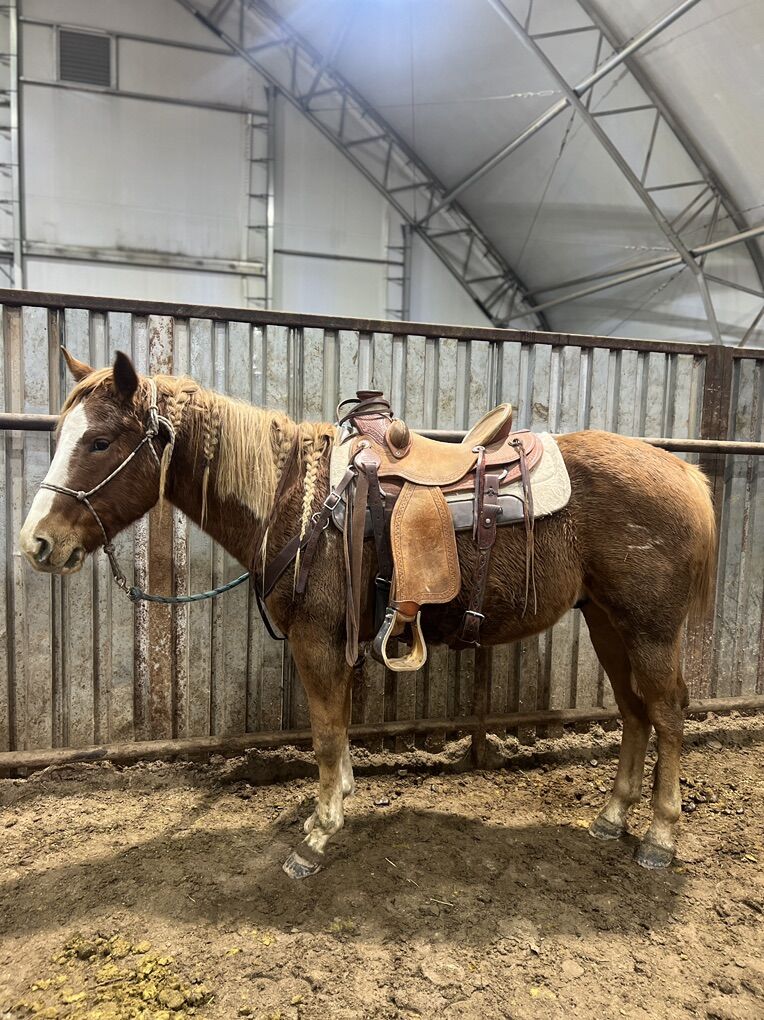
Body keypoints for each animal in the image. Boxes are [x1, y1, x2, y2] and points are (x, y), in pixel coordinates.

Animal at [19, 349, 717, 879]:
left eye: (100, 441)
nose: (37, 543)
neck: (298, 502)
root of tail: (687, 475)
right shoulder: (339, 643)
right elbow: (341, 730)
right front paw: (337, 805)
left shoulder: (316, 643)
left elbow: (326, 735)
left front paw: (316, 835)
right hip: (607, 621)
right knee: (633, 712)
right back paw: (611, 818)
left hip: (650, 629)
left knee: (667, 713)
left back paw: (659, 838)